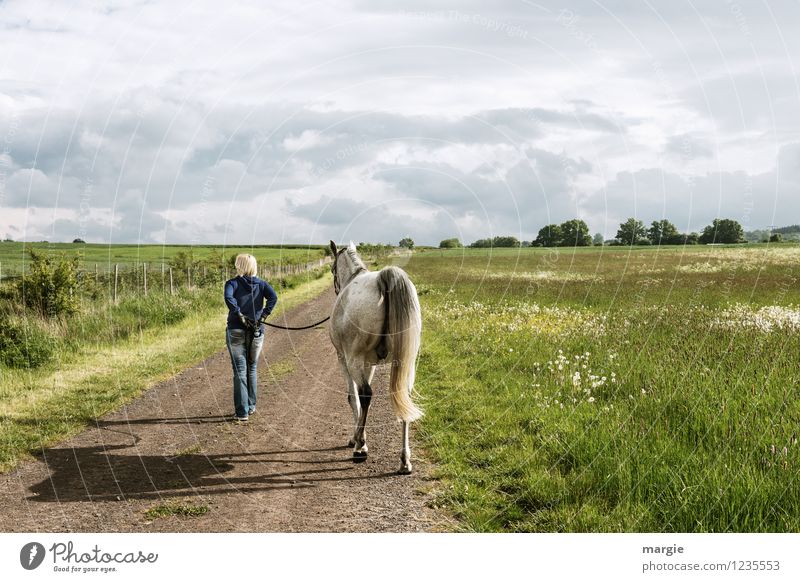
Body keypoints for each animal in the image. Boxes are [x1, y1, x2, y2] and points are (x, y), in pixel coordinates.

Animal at [326, 242, 422, 474]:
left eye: (332, 269)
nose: (335, 288)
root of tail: (384, 279)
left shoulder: (345, 359)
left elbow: (353, 397)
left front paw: (358, 439)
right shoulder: (370, 363)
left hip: (353, 359)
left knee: (365, 394)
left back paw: (360, 449)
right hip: (405, 361)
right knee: (403, 396)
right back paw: (404, 460)